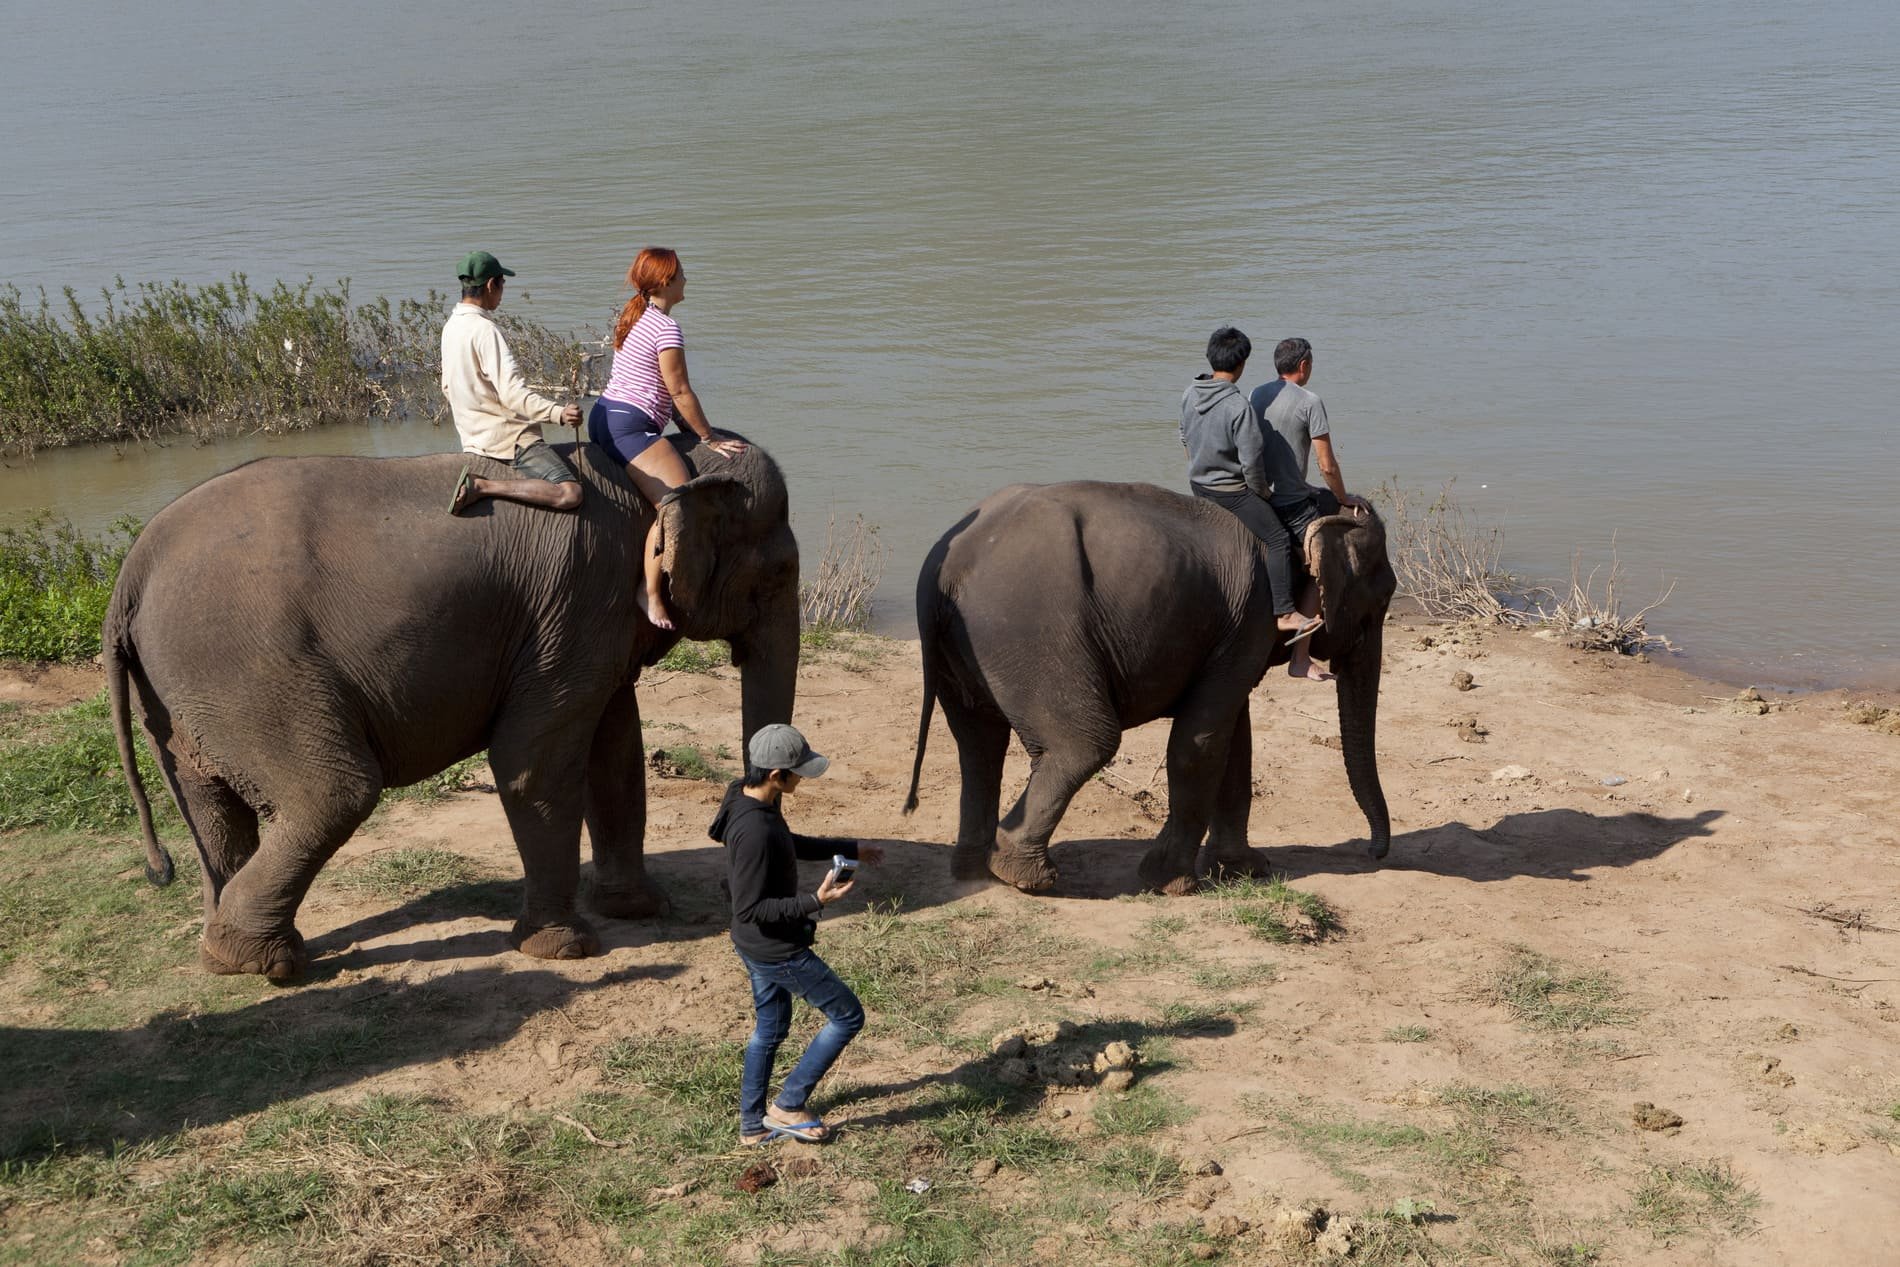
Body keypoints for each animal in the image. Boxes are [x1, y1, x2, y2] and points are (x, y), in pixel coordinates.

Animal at [100, 436, 798, 980]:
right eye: (778, 574)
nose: (733, 884)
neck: (659, 465)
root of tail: (131, 572)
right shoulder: (576, 604)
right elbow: (532, 763)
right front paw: (567, 949)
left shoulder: (592, 624)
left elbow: (616, 751)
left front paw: (639, 910)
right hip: (247, 668)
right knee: (335, 793)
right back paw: (262, 963)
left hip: (184, 689)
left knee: (211, 807)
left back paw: (234, 951)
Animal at [896, 480, 1406, 896]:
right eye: (1383, 597)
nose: (1374, 853)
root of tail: (944, 570)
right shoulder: (1253, 618)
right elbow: (1202, 744)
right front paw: (1172, 884)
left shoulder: (1236, 635)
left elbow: (1235, 741)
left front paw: (1246, 870)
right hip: (1032, 636)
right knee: (1085, 742)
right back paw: (1025, 876)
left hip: (971, 650)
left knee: (979, 745)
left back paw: (973, 871)